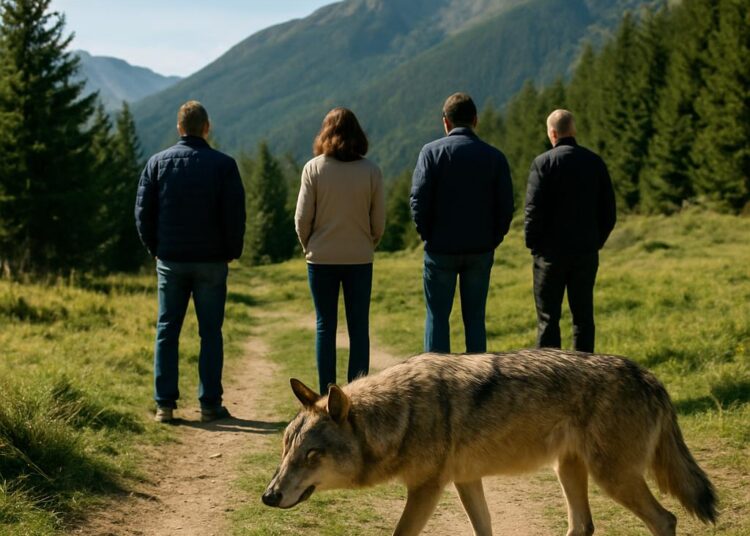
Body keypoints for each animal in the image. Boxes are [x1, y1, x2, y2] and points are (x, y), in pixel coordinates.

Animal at [262, 349, 717, 536]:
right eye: (285, 451)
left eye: (311, 455)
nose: (268, 496)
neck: (400, 414)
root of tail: (651, 377)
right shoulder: (466, 481)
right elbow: (484, 529)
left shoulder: (426, 489)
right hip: (569, 470)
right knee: (583, 525)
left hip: (614, 478)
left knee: (666, 520)